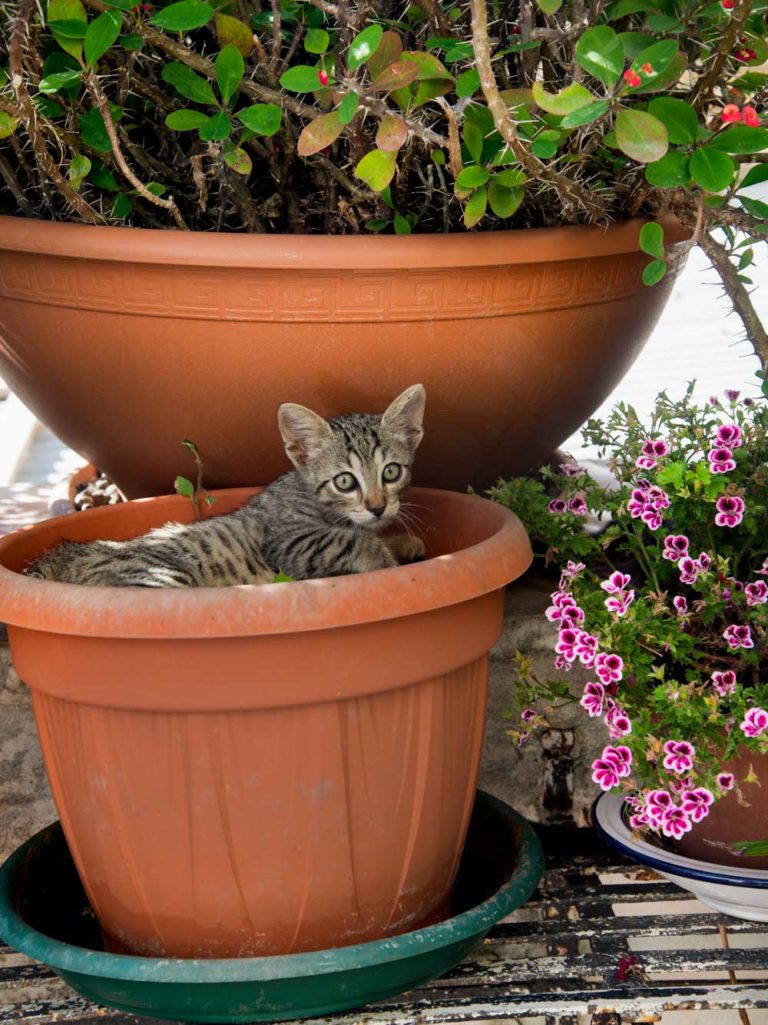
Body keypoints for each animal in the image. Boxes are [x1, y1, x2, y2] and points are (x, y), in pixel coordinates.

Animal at [23, 385, 428, 590]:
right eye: (345, 481)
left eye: (391, 472)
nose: (377, 507)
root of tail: (65, 555)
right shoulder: (290, 542)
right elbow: (352, 541)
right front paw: (386, 560)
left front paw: (403, 542)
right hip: (157, 579)